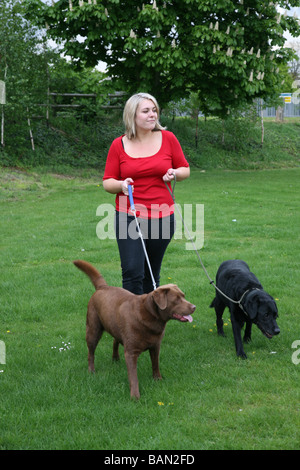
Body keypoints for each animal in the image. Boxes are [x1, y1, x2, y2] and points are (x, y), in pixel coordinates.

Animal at [72, 258, 195, 398]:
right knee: (91, 353)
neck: (150, 314)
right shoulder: (131, 353)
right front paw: (135, 396)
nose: (194, 307)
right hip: (93, 329)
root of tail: (102, 287)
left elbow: (155, 364)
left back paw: (115, 358)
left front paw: (158, 379)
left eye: (184, 296)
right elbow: (133, 376)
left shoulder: (156, 346)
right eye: (176, 299)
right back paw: (91, 371)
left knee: (115, 340)